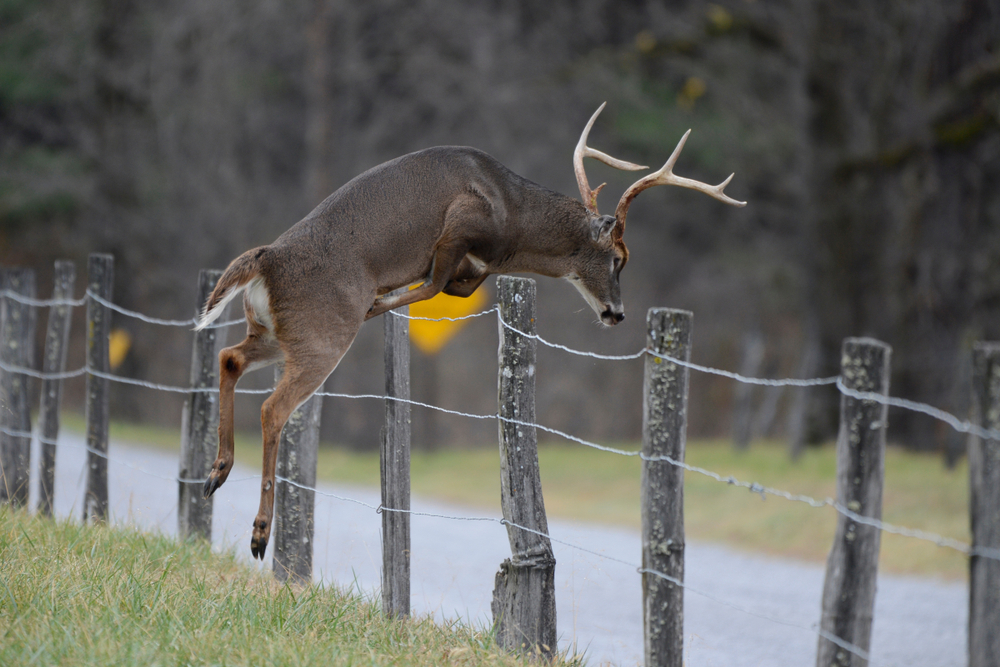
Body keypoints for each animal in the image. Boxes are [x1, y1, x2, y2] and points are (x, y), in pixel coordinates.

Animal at [195, 103, 746, 559]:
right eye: (618, 257)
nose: (617, 313)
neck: (512, 213)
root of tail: (265, 260)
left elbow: (453, 287)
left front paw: (388, 299)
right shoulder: (459, 225)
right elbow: (439, 285)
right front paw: (381, 300)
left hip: (274, 332)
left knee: (229, 357)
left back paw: (217, 471)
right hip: (323, 334)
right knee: (273, 408)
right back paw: (258, 533)